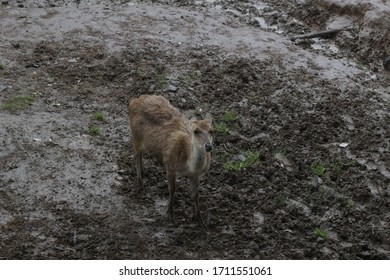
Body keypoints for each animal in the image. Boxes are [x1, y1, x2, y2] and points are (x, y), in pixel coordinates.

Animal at [128, 95, 213, 229]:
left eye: (211, 130)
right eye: (196, 131)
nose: (208, 146)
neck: (188, 166)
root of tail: (134, 101)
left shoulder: (196, 175)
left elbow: (196, 195)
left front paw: (199, 220)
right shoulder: (170, 166)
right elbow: (172, 190)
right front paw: (170, 216)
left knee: (140, 156)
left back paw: (144, 172)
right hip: (135, 137)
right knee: (136, 156)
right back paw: (140, 185)